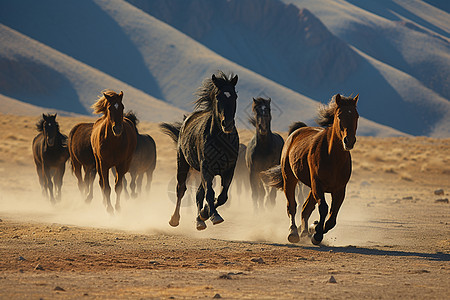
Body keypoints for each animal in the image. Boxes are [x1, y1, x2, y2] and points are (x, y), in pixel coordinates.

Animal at [161, 71, 239, 231]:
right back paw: (175, 219)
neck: (221, 141)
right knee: (181, 189)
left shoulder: (229, 170)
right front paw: (213, 216)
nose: (227, 124)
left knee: (198, 193)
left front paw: (205, 214)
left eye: (235, 96)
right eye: (218, 96)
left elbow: (222, 196)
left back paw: (200, 220)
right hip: (183, 164)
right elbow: (210, 193)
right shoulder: (206, 168)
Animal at [266, 94, 360, 244]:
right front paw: (317, 234)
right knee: (292, 206)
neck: (333, 158)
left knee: (305, 208)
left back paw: (304, 231)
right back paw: (293, 232)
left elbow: (332, 218)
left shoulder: (340, 190)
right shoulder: (318, 185)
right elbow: (323, 208)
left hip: (311, 187)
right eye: (339, 115)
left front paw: (314, 229)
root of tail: (296, 132)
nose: (349, 141)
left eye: (356, 116)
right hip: (290, 179)